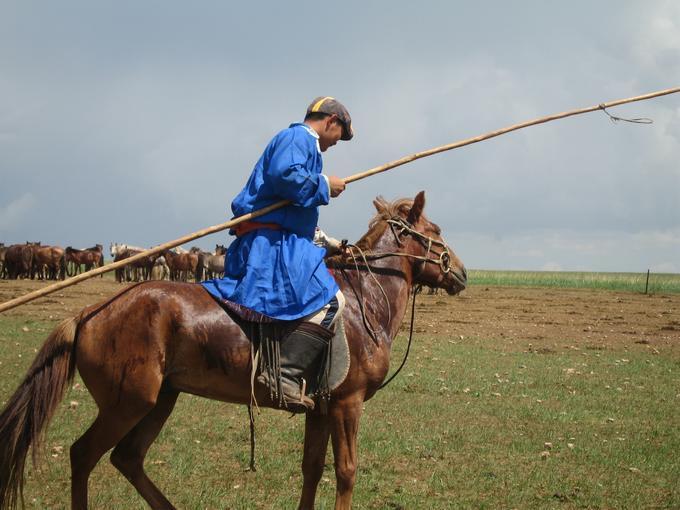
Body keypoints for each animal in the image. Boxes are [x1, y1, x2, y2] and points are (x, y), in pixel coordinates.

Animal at [0, 192, 464, 510]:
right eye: (437, 231)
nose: (460, 272)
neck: (365, 296)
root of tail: (90, 312)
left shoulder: (320, 408)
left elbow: (312, 468)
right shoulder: (346, 404)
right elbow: (346, 472)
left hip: (160, 400)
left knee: (128, 458)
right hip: (128, 403)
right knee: (83, 455)